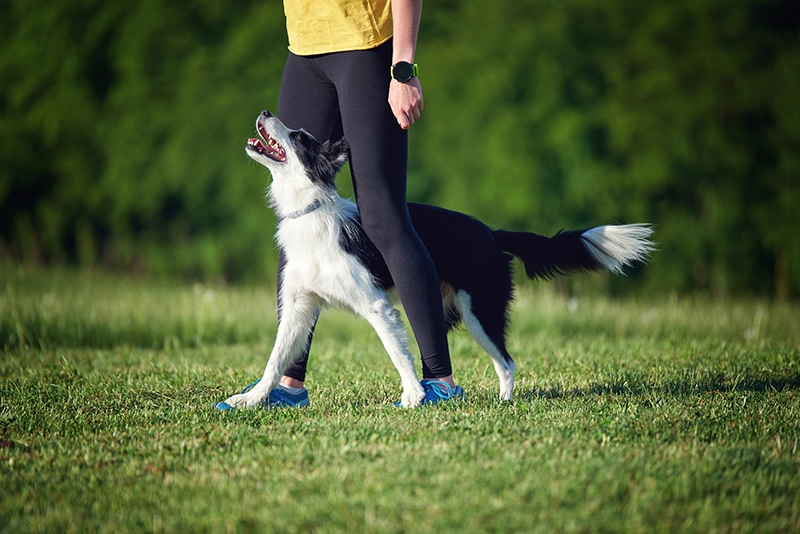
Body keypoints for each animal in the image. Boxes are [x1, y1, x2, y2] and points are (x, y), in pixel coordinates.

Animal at [220, 110, 656, 410]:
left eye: (298, 137)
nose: (265, 112)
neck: (310, 210)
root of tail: (491, 233)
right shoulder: (299, 306)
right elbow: (276, 358)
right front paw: (253, 399)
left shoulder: (376, 305)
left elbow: (397, 351)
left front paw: (412, 397)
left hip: (480, 310)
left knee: (507, 361)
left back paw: (502, 402)